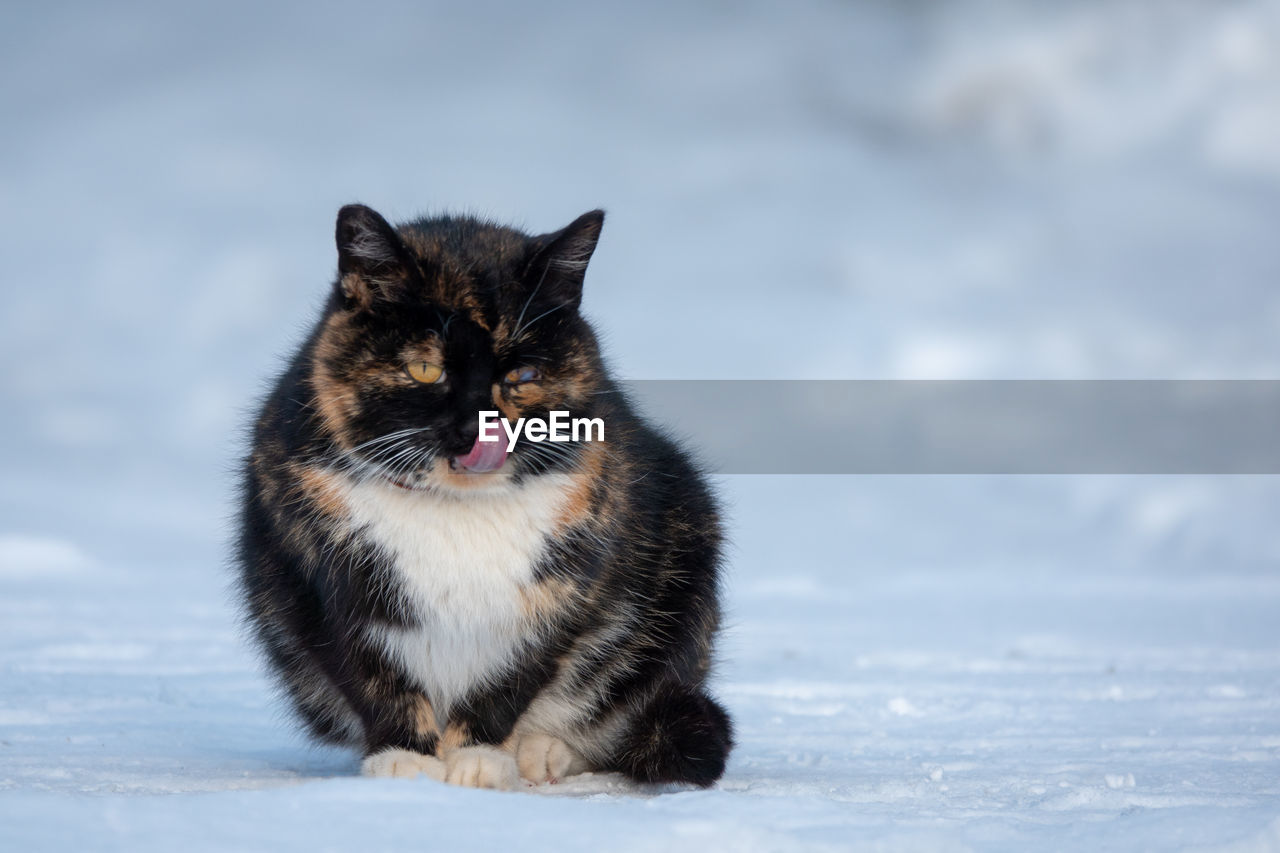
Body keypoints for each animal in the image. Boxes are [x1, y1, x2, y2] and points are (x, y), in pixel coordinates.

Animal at [231, 201, 732, 783]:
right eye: (425, 367)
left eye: (524, 374)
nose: (481, 428)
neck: (457, 510)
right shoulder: (318, 584)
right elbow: (372, 677)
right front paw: (403, 759)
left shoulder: (568, 593)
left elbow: (512, 679)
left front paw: (478, 761)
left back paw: (542, 753)